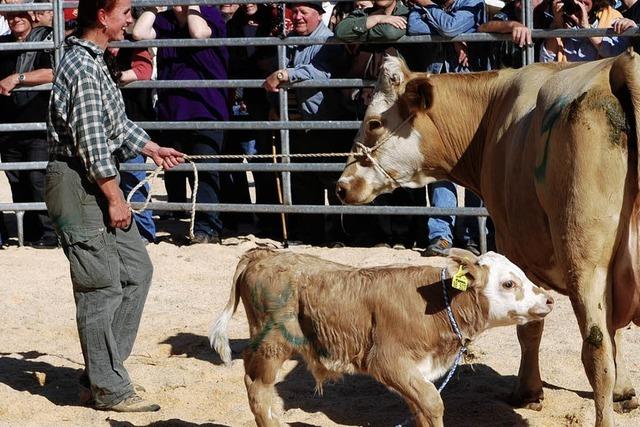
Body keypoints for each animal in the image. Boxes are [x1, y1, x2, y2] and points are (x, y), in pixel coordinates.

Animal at [210, 249, 556, 426]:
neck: (438, 303)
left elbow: (421, 408)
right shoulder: (386, 361)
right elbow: (433, 403)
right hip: (271, 343)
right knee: (258, 390)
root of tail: (261, 254)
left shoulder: (415, 371)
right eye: (509, 283)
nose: (549, 299)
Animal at [336, 52, 640, 424]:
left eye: (375, 122)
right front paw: (625, 392)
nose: (342, 186)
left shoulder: (513, 243)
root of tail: (620, 64)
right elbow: (616, 332)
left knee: (596, 351)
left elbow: (530, 327)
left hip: (585, 263)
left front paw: (528, 392)